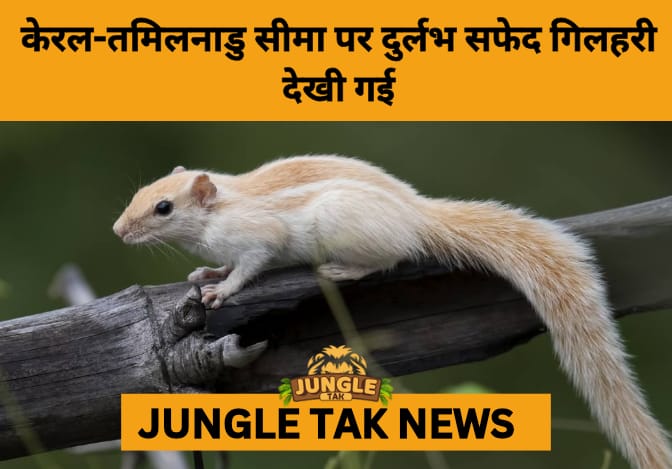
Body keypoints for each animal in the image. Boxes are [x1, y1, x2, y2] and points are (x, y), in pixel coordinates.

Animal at [113, 155, 671, 468]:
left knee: (388, 258)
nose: (118, 231)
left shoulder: (257, 239)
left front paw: (220, 290)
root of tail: (419, 216)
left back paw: (340, 270)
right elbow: (221, 265)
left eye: (163, 207)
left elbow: (246, 268)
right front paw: (204, 274)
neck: (225, 207)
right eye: (138, 193)